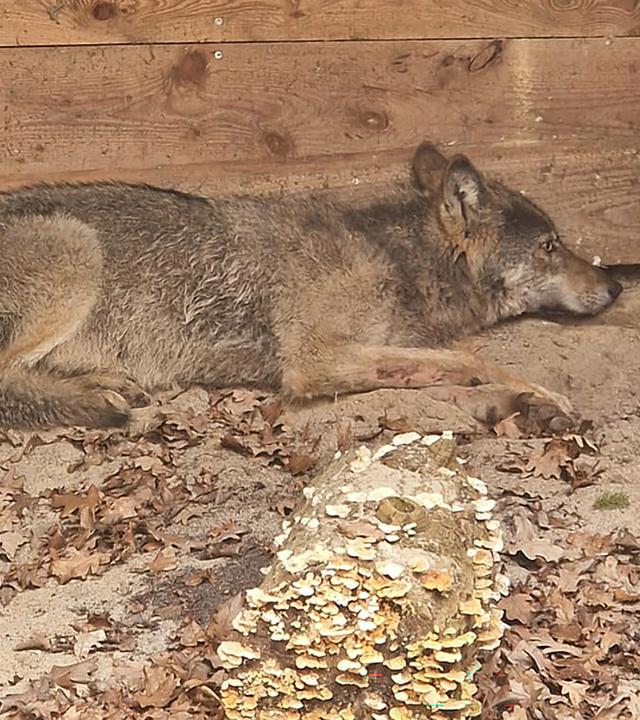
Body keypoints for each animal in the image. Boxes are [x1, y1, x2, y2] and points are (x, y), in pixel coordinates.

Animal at [0, 143, 622, 430]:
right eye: (550, 246)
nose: (616, 284)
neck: (393, 258)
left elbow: (440, 371)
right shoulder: (312, 360)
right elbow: (474, 360)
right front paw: (539, 394)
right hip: (76, 246)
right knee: (10, 380)